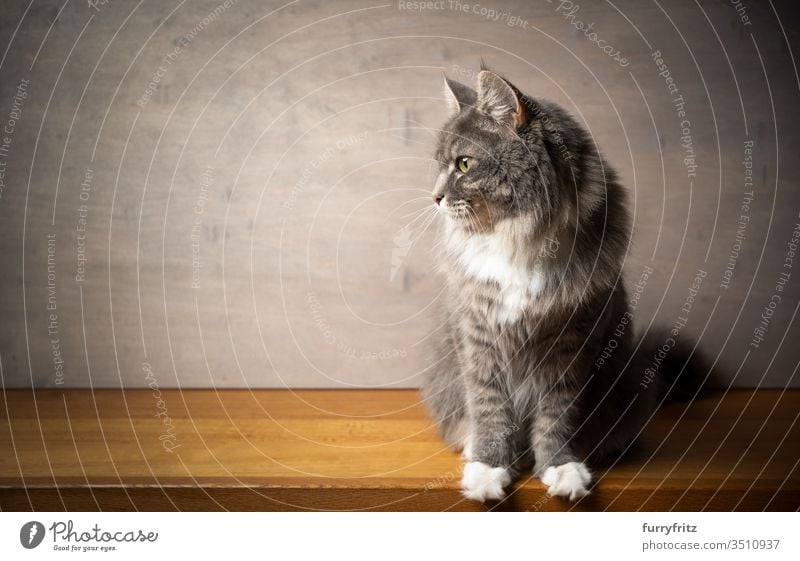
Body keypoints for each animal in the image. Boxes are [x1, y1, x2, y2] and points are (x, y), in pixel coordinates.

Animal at [418, 68, 708, 500]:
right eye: (440, 165)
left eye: (464, 164)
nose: (434, 197)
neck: (520, 240)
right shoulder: (479, 336)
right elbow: (489, 408)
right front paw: (487, 469)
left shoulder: (571, 340)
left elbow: (557, 415)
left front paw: (560, 468)